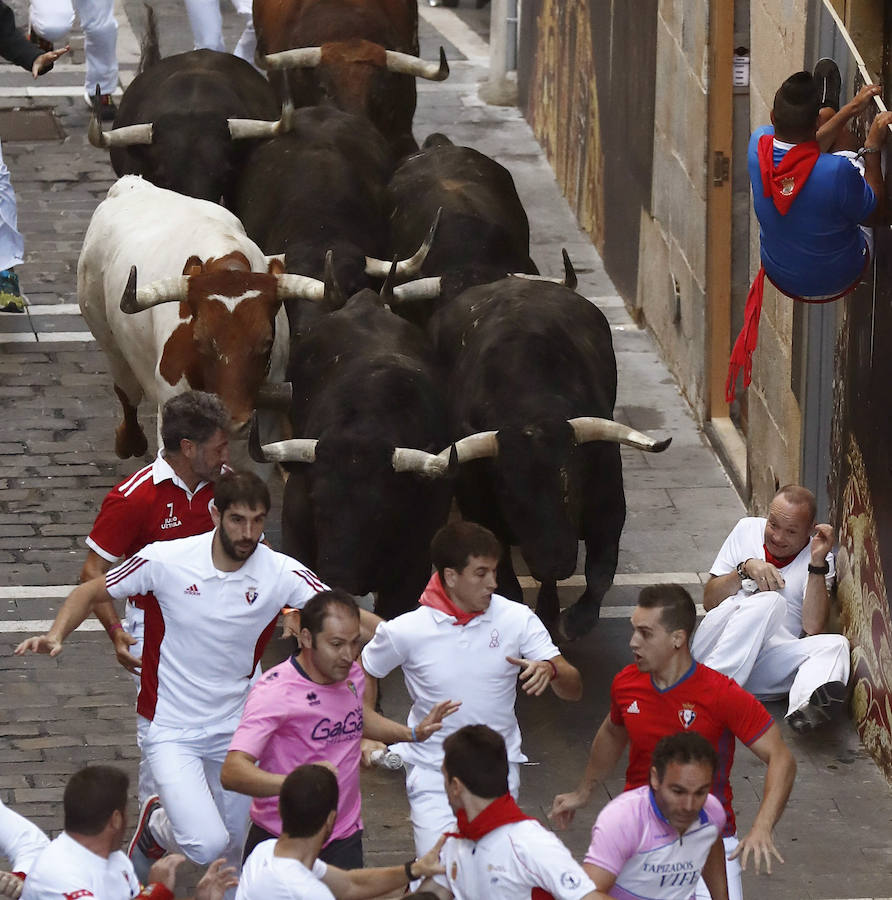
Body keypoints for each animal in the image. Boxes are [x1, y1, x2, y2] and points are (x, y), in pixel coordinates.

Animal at [80, 175, 328, 460]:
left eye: (266, 342)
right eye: (199, 341)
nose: (234, 423)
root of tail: (131, 183)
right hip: (108, 339)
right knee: (126, 390)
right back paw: (130, 441)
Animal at [430, 276, 668, 640]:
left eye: (572, 486)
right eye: (509, 497)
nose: (554, 560)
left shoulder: (609, 505)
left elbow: (601, 571)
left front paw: (574, 621)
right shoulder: (481, 511)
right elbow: (506, 583)